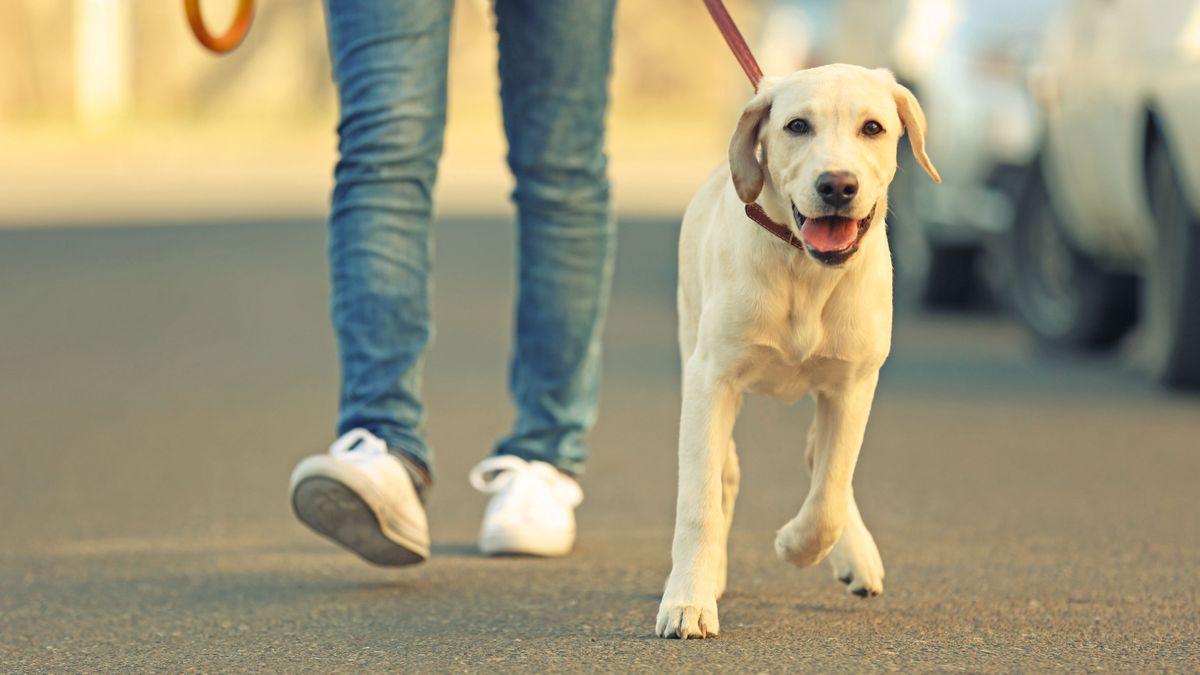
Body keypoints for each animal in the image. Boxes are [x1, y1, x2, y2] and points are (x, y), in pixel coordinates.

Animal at [657, 63, 936, 634]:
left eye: (873, 128)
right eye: (797, 126)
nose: (837, 185)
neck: (805, 272)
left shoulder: (853, 385)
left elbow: (830, 491)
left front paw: (795, 544)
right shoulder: (711, 379)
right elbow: (699, 500)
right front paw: (689, 600)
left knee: (825, 463)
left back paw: (856, 555)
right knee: (726, 470)